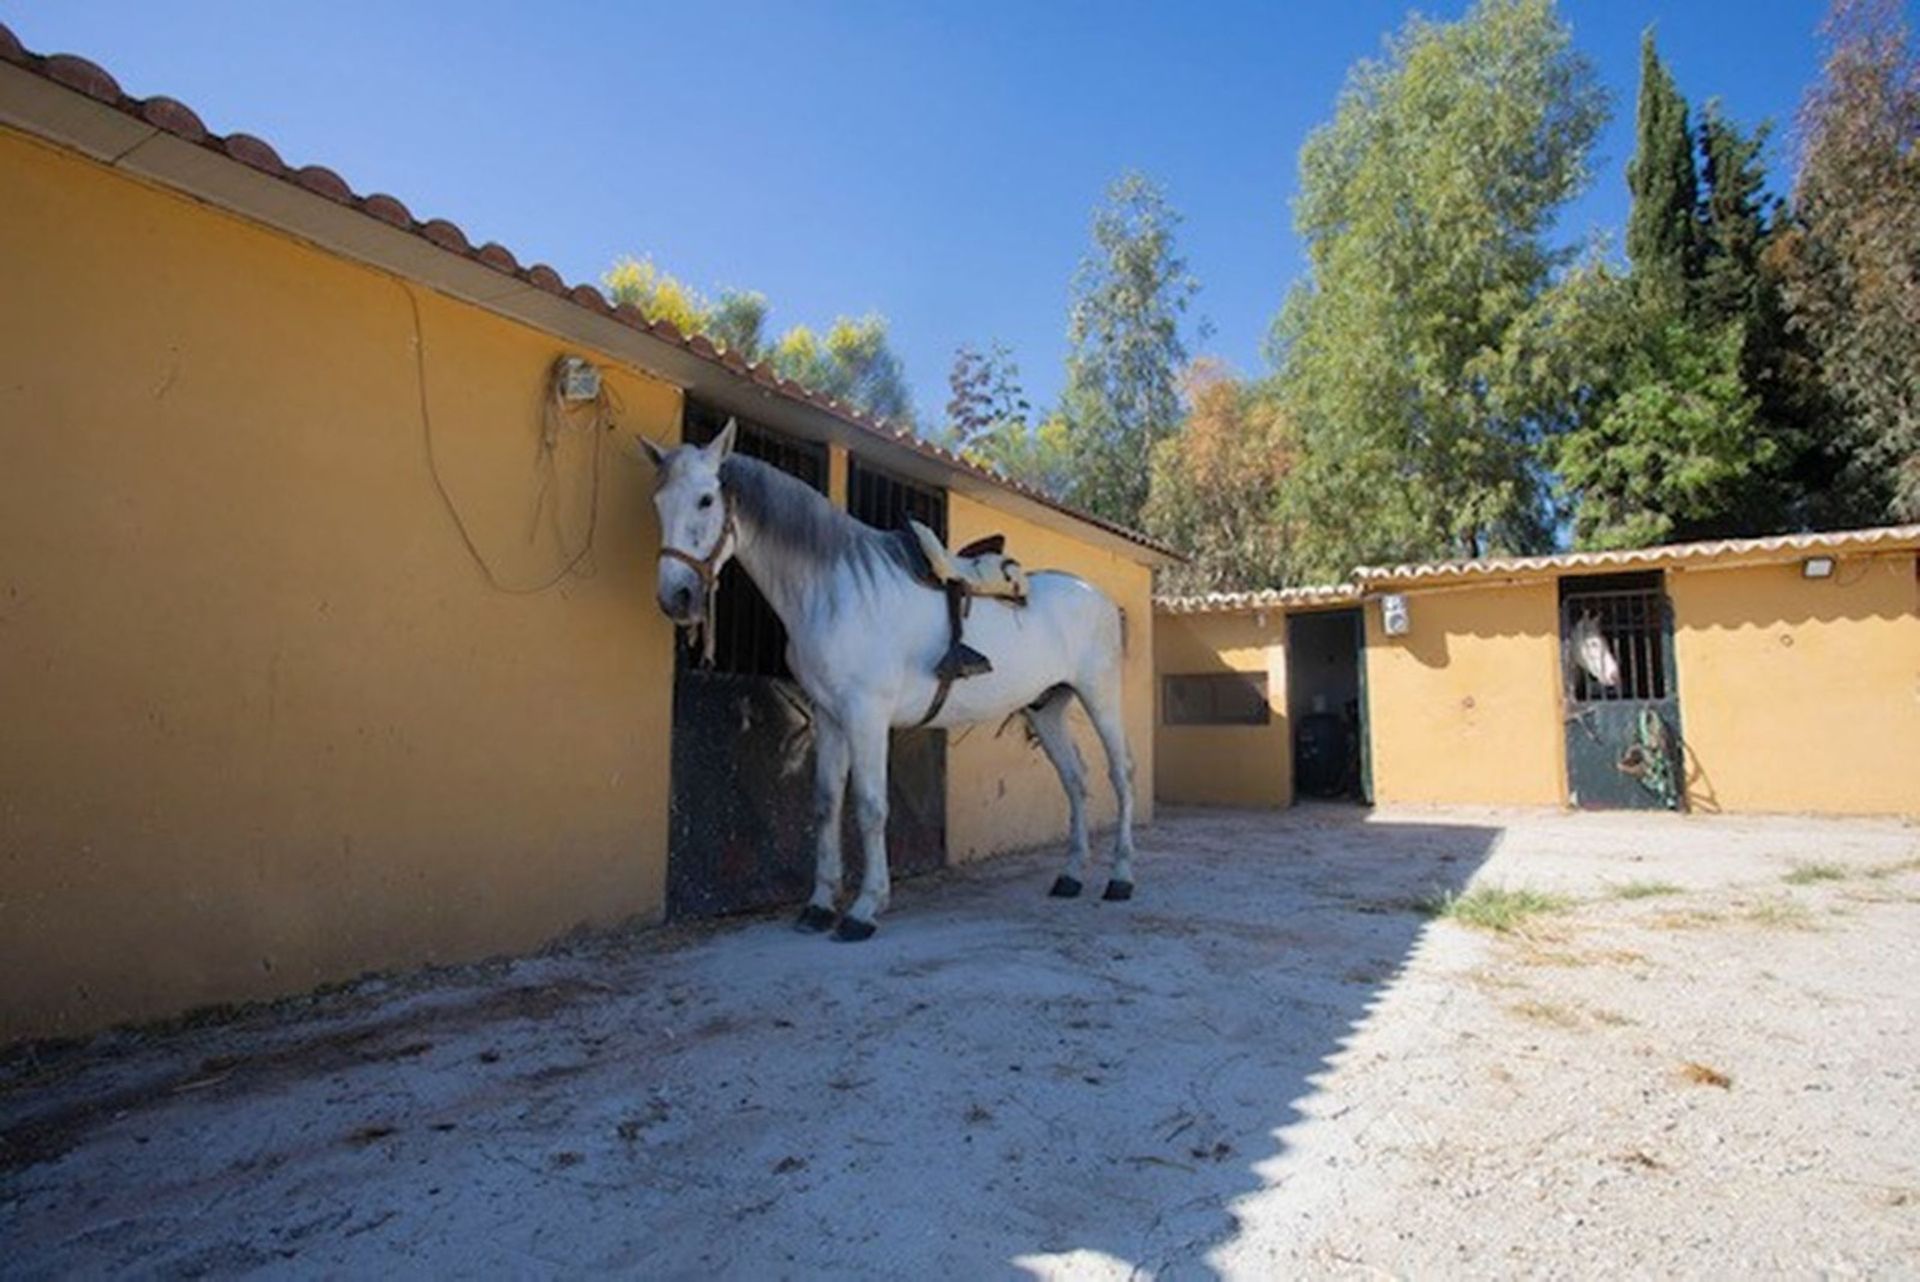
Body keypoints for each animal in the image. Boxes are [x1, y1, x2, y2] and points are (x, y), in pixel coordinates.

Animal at [637, 426, 1128, 936]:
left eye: (706, 500)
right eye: (658, 501)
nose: (676, 598)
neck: (832, 590)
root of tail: (1098, 596)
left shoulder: (866, 715)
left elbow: (871, 806)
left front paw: (865, 908)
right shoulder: (829, 716)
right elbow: (827, 803)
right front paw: (819, 905)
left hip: (1101, 698)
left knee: (1120, 775)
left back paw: (1120, 878)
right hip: (1047, 708)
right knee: (1075, 778)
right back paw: (1071, 876)